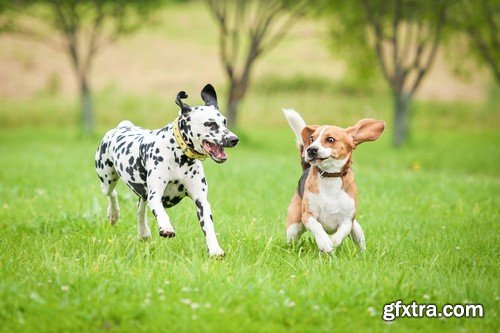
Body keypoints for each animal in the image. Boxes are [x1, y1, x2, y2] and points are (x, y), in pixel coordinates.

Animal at [97, 84, 240, 255]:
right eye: (210, 123)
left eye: (224, 122)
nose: (234, 139)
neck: (179, 157)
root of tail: (122, 126)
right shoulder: (155, 195)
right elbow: (160, 212)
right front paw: (166, 227)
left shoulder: (201, 201)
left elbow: (209, 227)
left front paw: (215, 250)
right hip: (107, 180)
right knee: (112, 194)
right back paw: (113, 214)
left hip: (141, 193)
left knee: (140, 210)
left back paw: (143, 232)